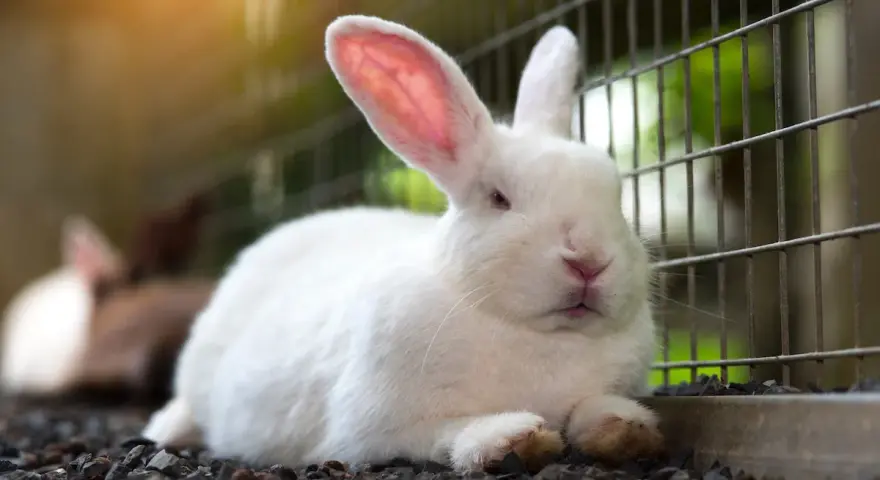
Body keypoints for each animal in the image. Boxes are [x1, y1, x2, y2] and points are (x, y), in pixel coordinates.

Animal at [142, 16, 662, 473]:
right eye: (499, 198)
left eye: (615, 195)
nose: (590, 261)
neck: (538, 337)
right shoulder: (375, 430)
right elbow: (446, 433)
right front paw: (511, 438)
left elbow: (594, 408)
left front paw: (626, 429)